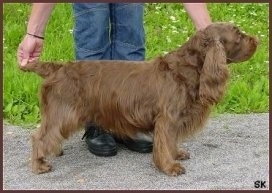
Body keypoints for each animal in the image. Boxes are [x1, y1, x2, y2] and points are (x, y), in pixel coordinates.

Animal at [19, 22, 258, 175]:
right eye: (239, 35)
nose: (256, 40)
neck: (189, 67)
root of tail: (58, 67)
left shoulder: (173, 119)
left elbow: (171, 141)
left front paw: (176, 155)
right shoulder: (168, 117)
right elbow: (164, 142)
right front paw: (169, 167)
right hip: (65, 112)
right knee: (40, 136)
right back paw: (39, 165)